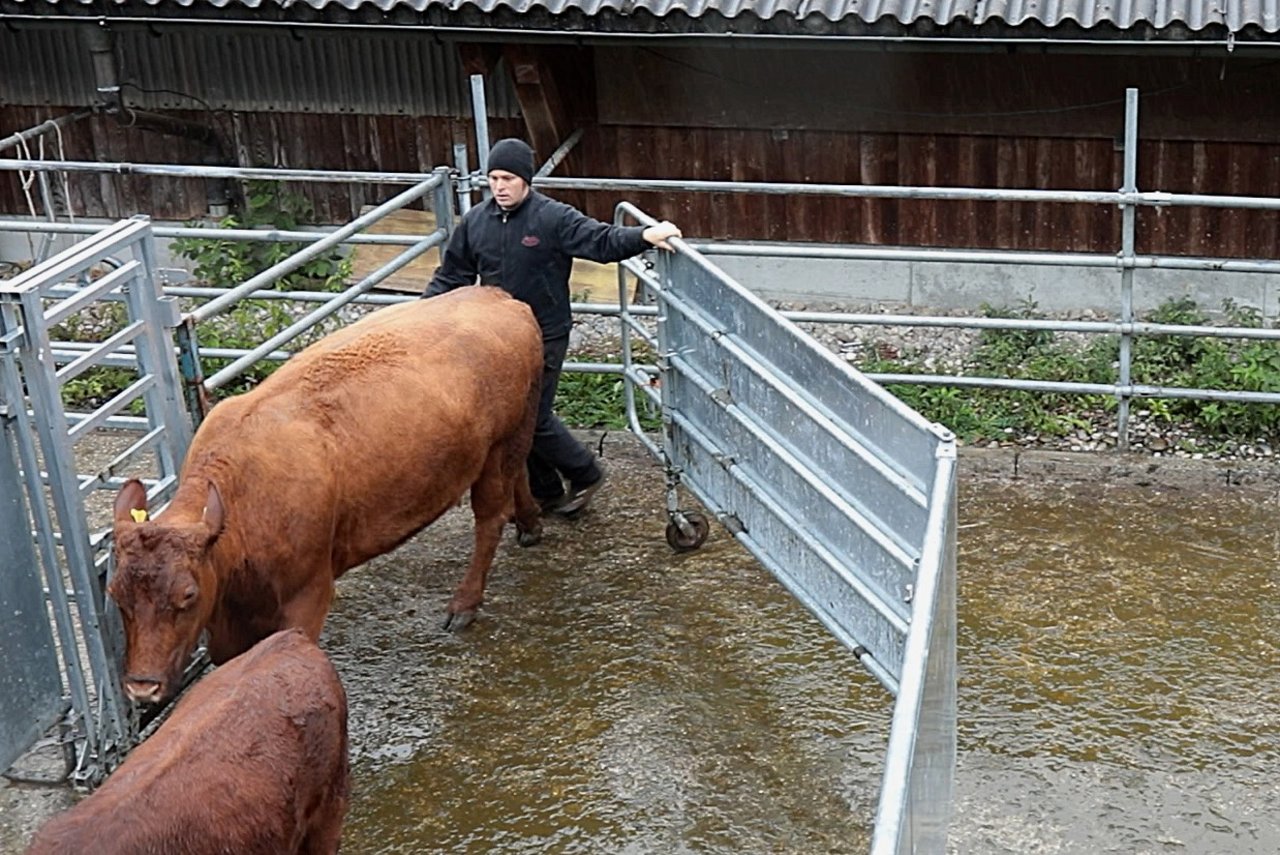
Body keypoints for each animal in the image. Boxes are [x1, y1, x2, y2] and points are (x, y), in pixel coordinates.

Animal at [107, 286, 542, 701]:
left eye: (188, 595)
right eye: (115, 593)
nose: (142, 688)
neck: (243, 495)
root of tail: (498, 297)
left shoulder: (308, 594)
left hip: (500, 448)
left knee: (489, 520)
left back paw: (463, 605)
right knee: (523, 471)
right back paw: (530, 523)